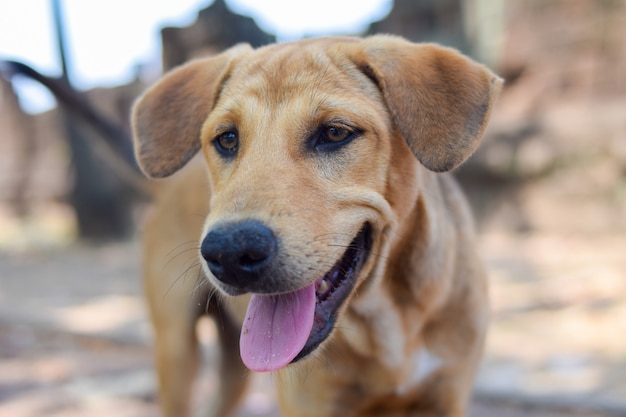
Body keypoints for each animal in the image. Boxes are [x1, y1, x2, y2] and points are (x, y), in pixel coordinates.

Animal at [130, 35, 498, 416]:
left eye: (334, 133)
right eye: (227, 139)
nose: (229, 253)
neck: (387, 324)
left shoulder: (447, 395)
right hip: (175, 349)